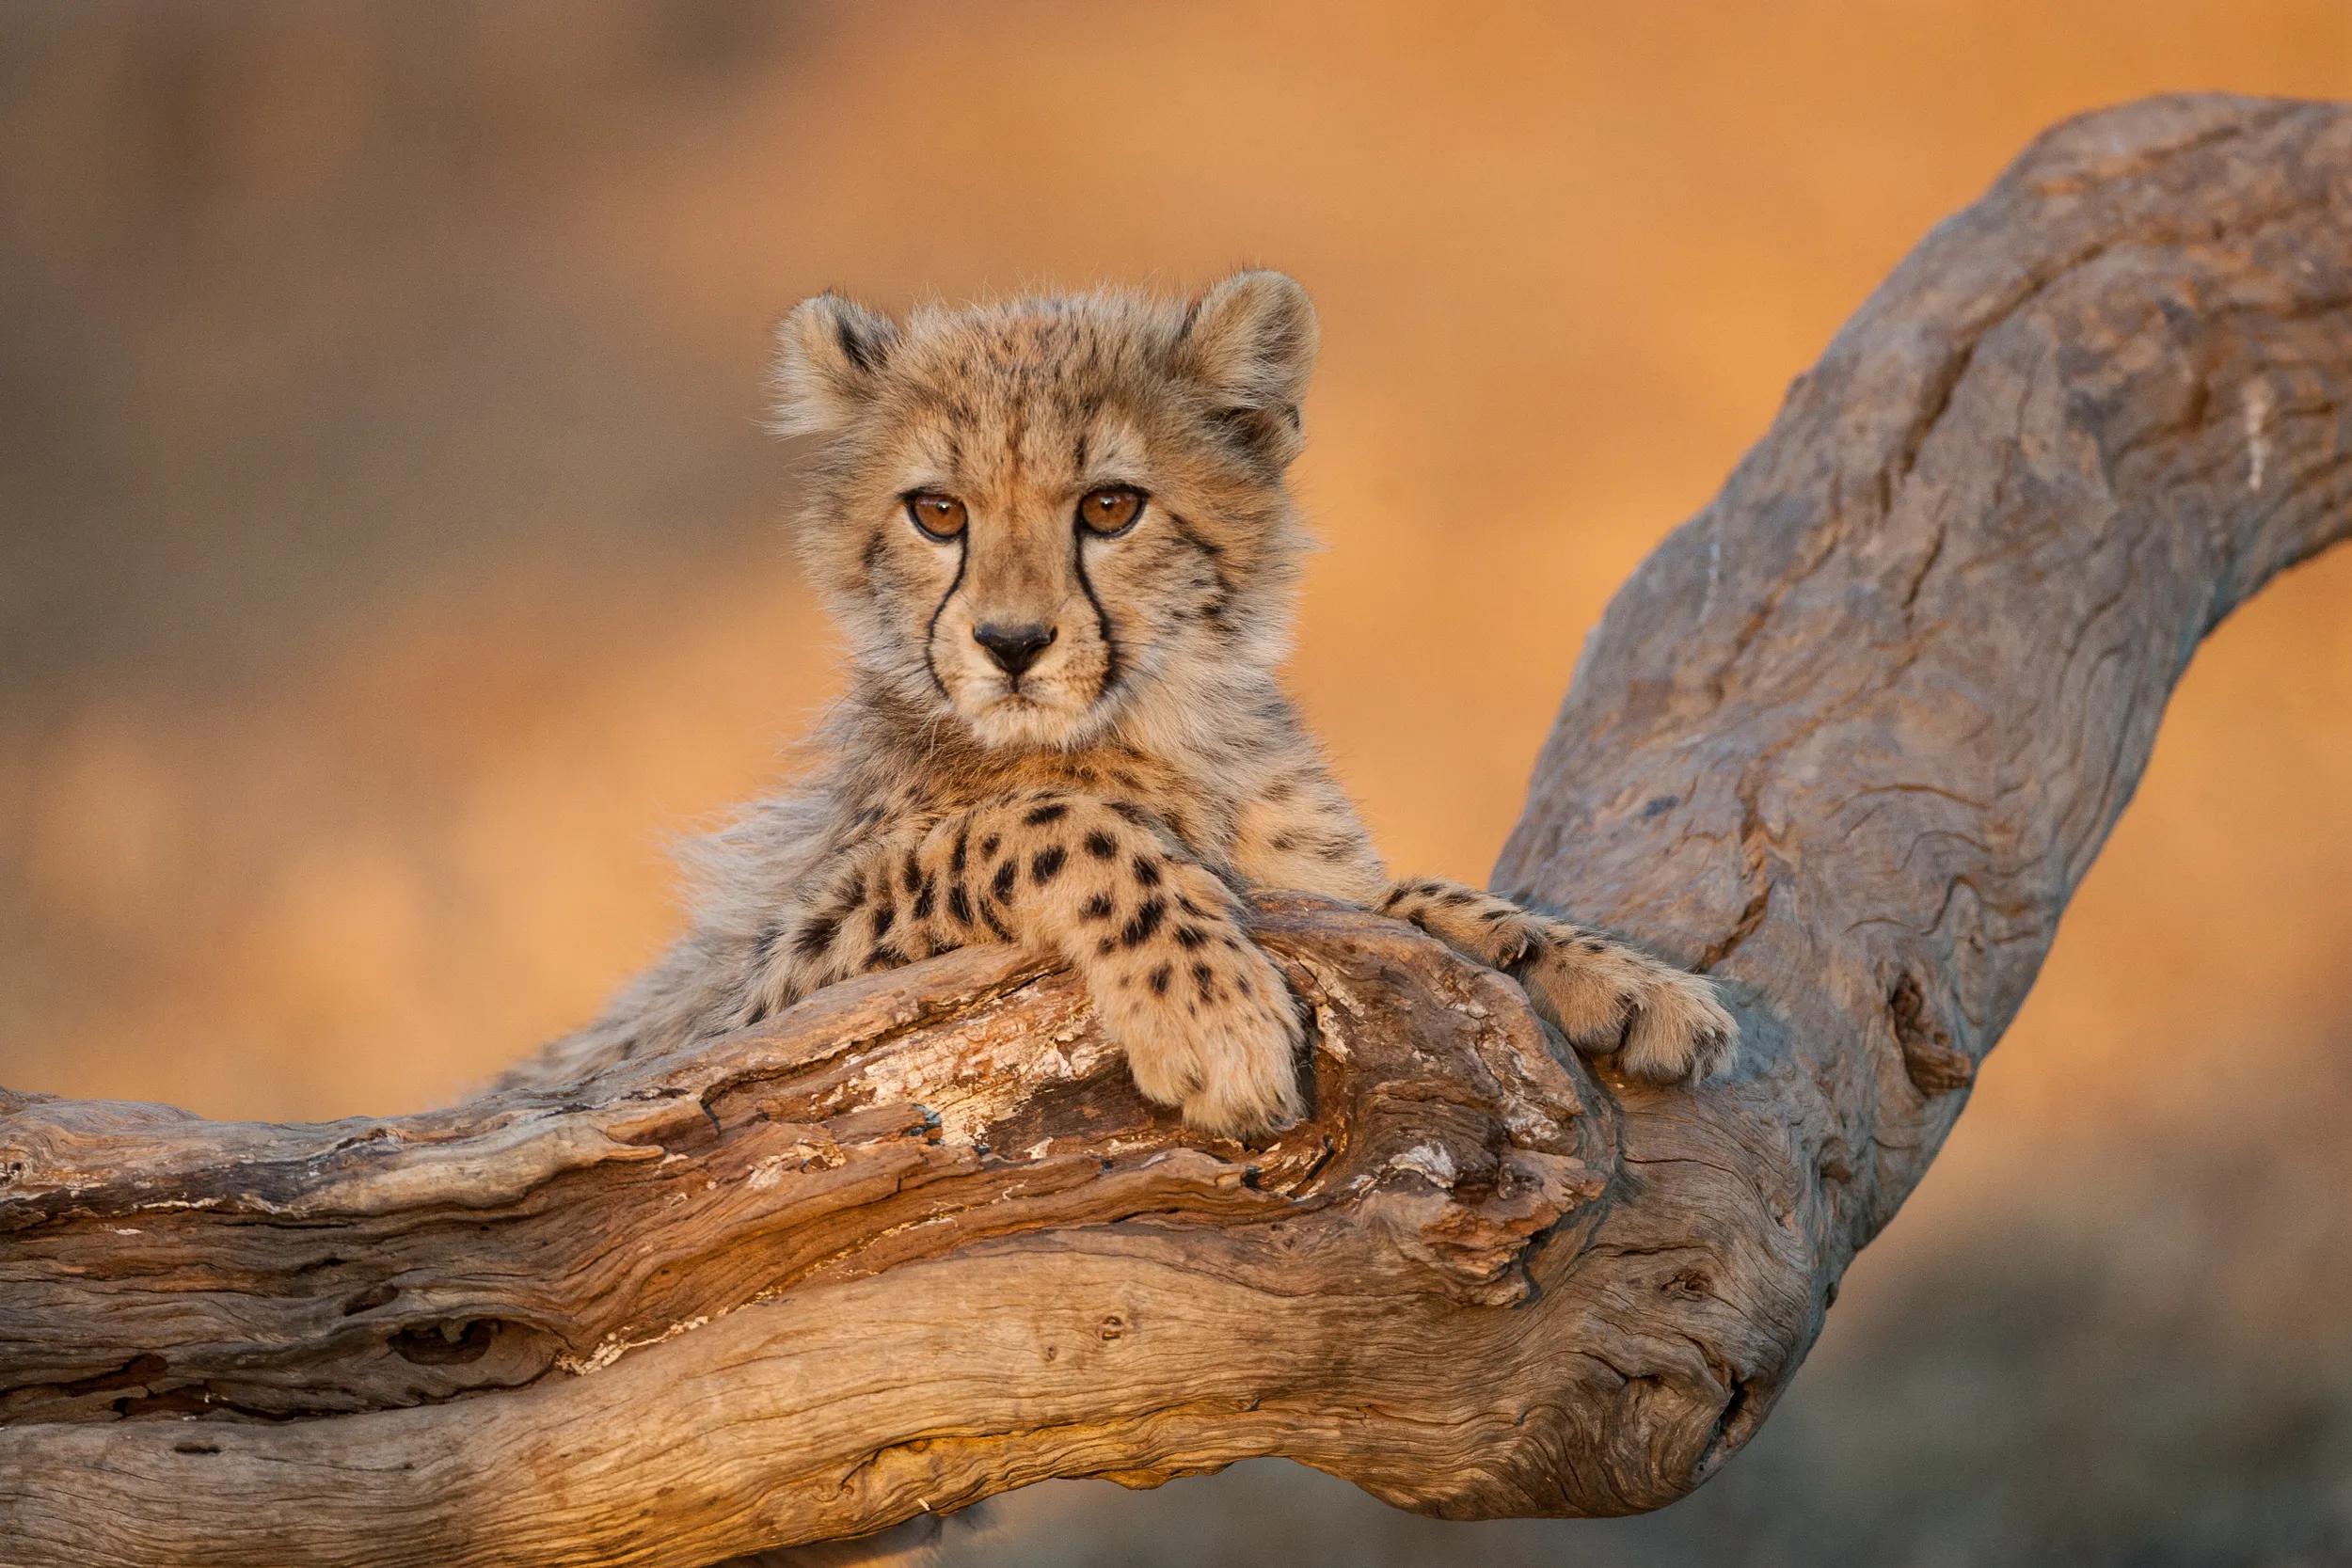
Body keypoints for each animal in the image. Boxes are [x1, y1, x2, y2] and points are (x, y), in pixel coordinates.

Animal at [501, 270, 1737, 1135]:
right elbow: (1048, 823)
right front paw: (1209, 1013)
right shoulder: (766, 1005)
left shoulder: (1322, 889)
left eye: (1109, 506)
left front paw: (1616, 973)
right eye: (937, 512)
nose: (1010, 643)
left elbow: (1403, 896)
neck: (1150, 730)